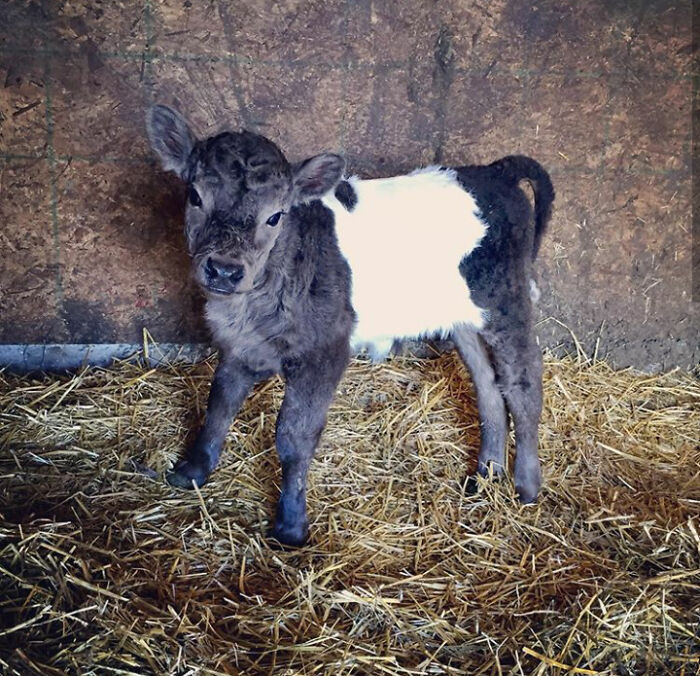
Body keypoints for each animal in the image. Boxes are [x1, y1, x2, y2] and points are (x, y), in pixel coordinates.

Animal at [146, 104, 555, 547]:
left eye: (276, 215)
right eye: (195, 196)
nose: (224, 269)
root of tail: (494, 171)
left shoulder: (325, 349)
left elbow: (294, 435)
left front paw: (291, 523)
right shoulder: (241, 346)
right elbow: (219, 405)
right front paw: (191, 471)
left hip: (505, 301)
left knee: (523, 386)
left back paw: (526, 486)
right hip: (463, 317)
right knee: (489, 388)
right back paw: (486, 475)